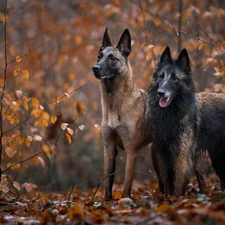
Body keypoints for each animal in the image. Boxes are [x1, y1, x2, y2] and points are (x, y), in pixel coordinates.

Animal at [92, 28, 152, 200]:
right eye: (99, 55)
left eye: (112, 58)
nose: (95, 68)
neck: (114, 105)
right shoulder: (109, 148)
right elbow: (108, 181)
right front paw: (107, 201)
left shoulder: (131, 150)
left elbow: (127, 183)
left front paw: (125, 200)